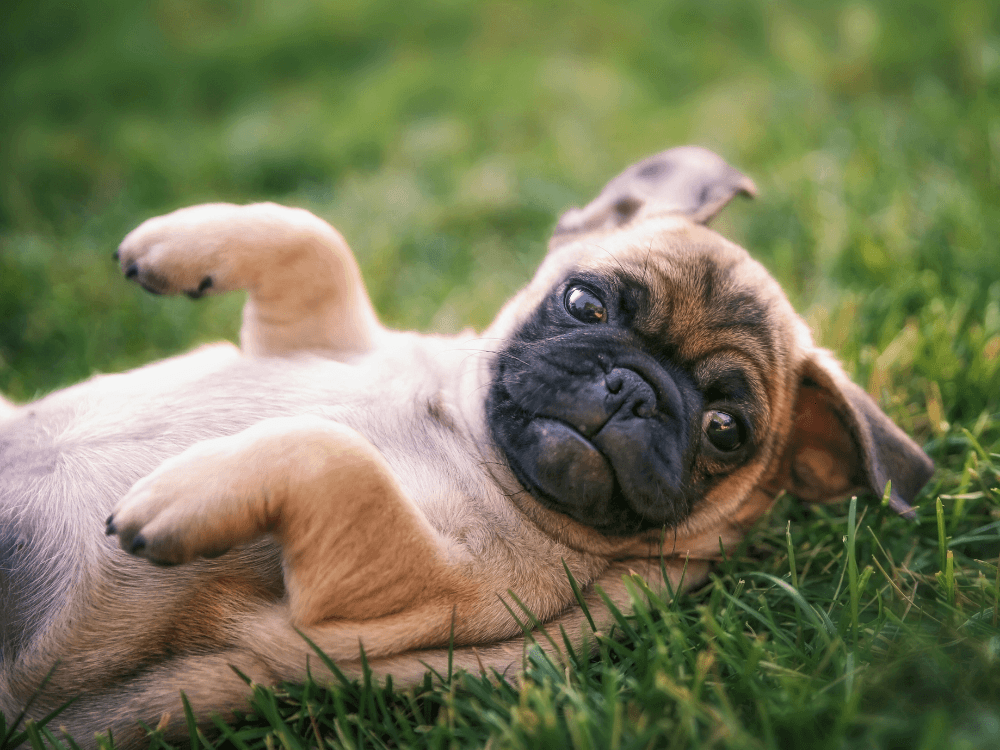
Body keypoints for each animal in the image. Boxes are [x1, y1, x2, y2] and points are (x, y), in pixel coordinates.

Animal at [1, 147, 936, 748]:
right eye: (586, 303)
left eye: (726, 431)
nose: (634, 389)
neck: (465, 431)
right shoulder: (311, 334)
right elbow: (313, 239)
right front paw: (173, 243)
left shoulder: (383, 596)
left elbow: (339, 457)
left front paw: (188, 491)